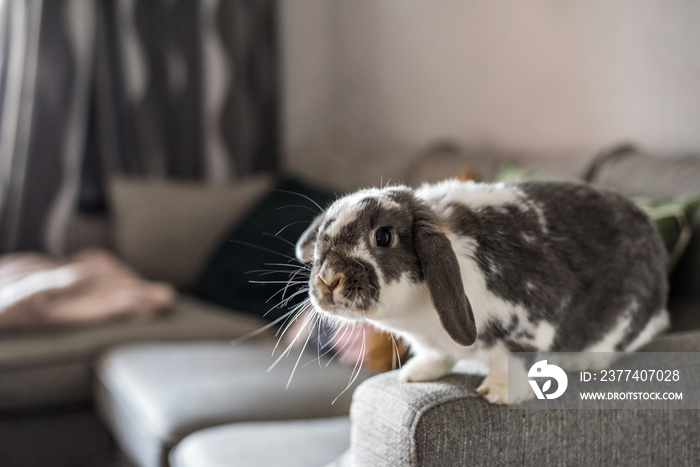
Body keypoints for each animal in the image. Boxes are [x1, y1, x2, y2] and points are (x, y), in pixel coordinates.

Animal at [292, 180, 668, 406]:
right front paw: (416, 374)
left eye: (383, 237)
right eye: (323, 235)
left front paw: (501, 393)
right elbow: (436, 356)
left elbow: (514, 359)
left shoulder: (529, 321)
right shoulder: (432, 343)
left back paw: (584, 360)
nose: (328, 280)